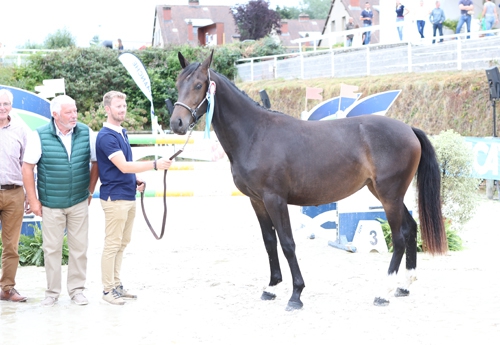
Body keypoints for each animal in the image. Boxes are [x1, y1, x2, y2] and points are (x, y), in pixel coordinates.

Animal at [170, 50, 448, 310]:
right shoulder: (257, 201)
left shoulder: (275, 200)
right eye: (178, 83)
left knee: (399, 237)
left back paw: (384, 291)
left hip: (389, 195)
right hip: (386, 194)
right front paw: (271, 287)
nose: (177, 123)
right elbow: (269, 242)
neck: (255, 134)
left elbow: (287, 243)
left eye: (198, 85)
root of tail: (408, 129)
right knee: (411, 229)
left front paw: (296, 294)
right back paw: (404, 285)